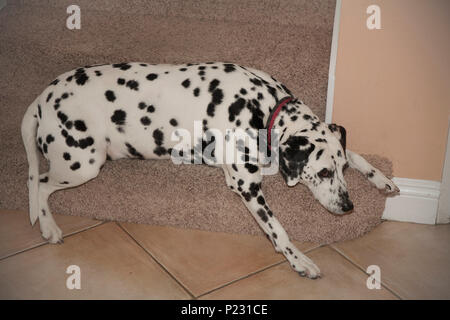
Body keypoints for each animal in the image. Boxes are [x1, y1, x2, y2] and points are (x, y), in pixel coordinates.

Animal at [21, 62, 398, 278]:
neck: (262, 106)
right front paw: (298, 260)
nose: (348, 207)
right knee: (38, 183)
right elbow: (278, 229)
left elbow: (357, 153)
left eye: (341, 169)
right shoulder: (246, 184)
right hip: (81, 163)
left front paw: (380, 177)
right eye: (322, 174)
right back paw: (49, 227)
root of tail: (41, 98)